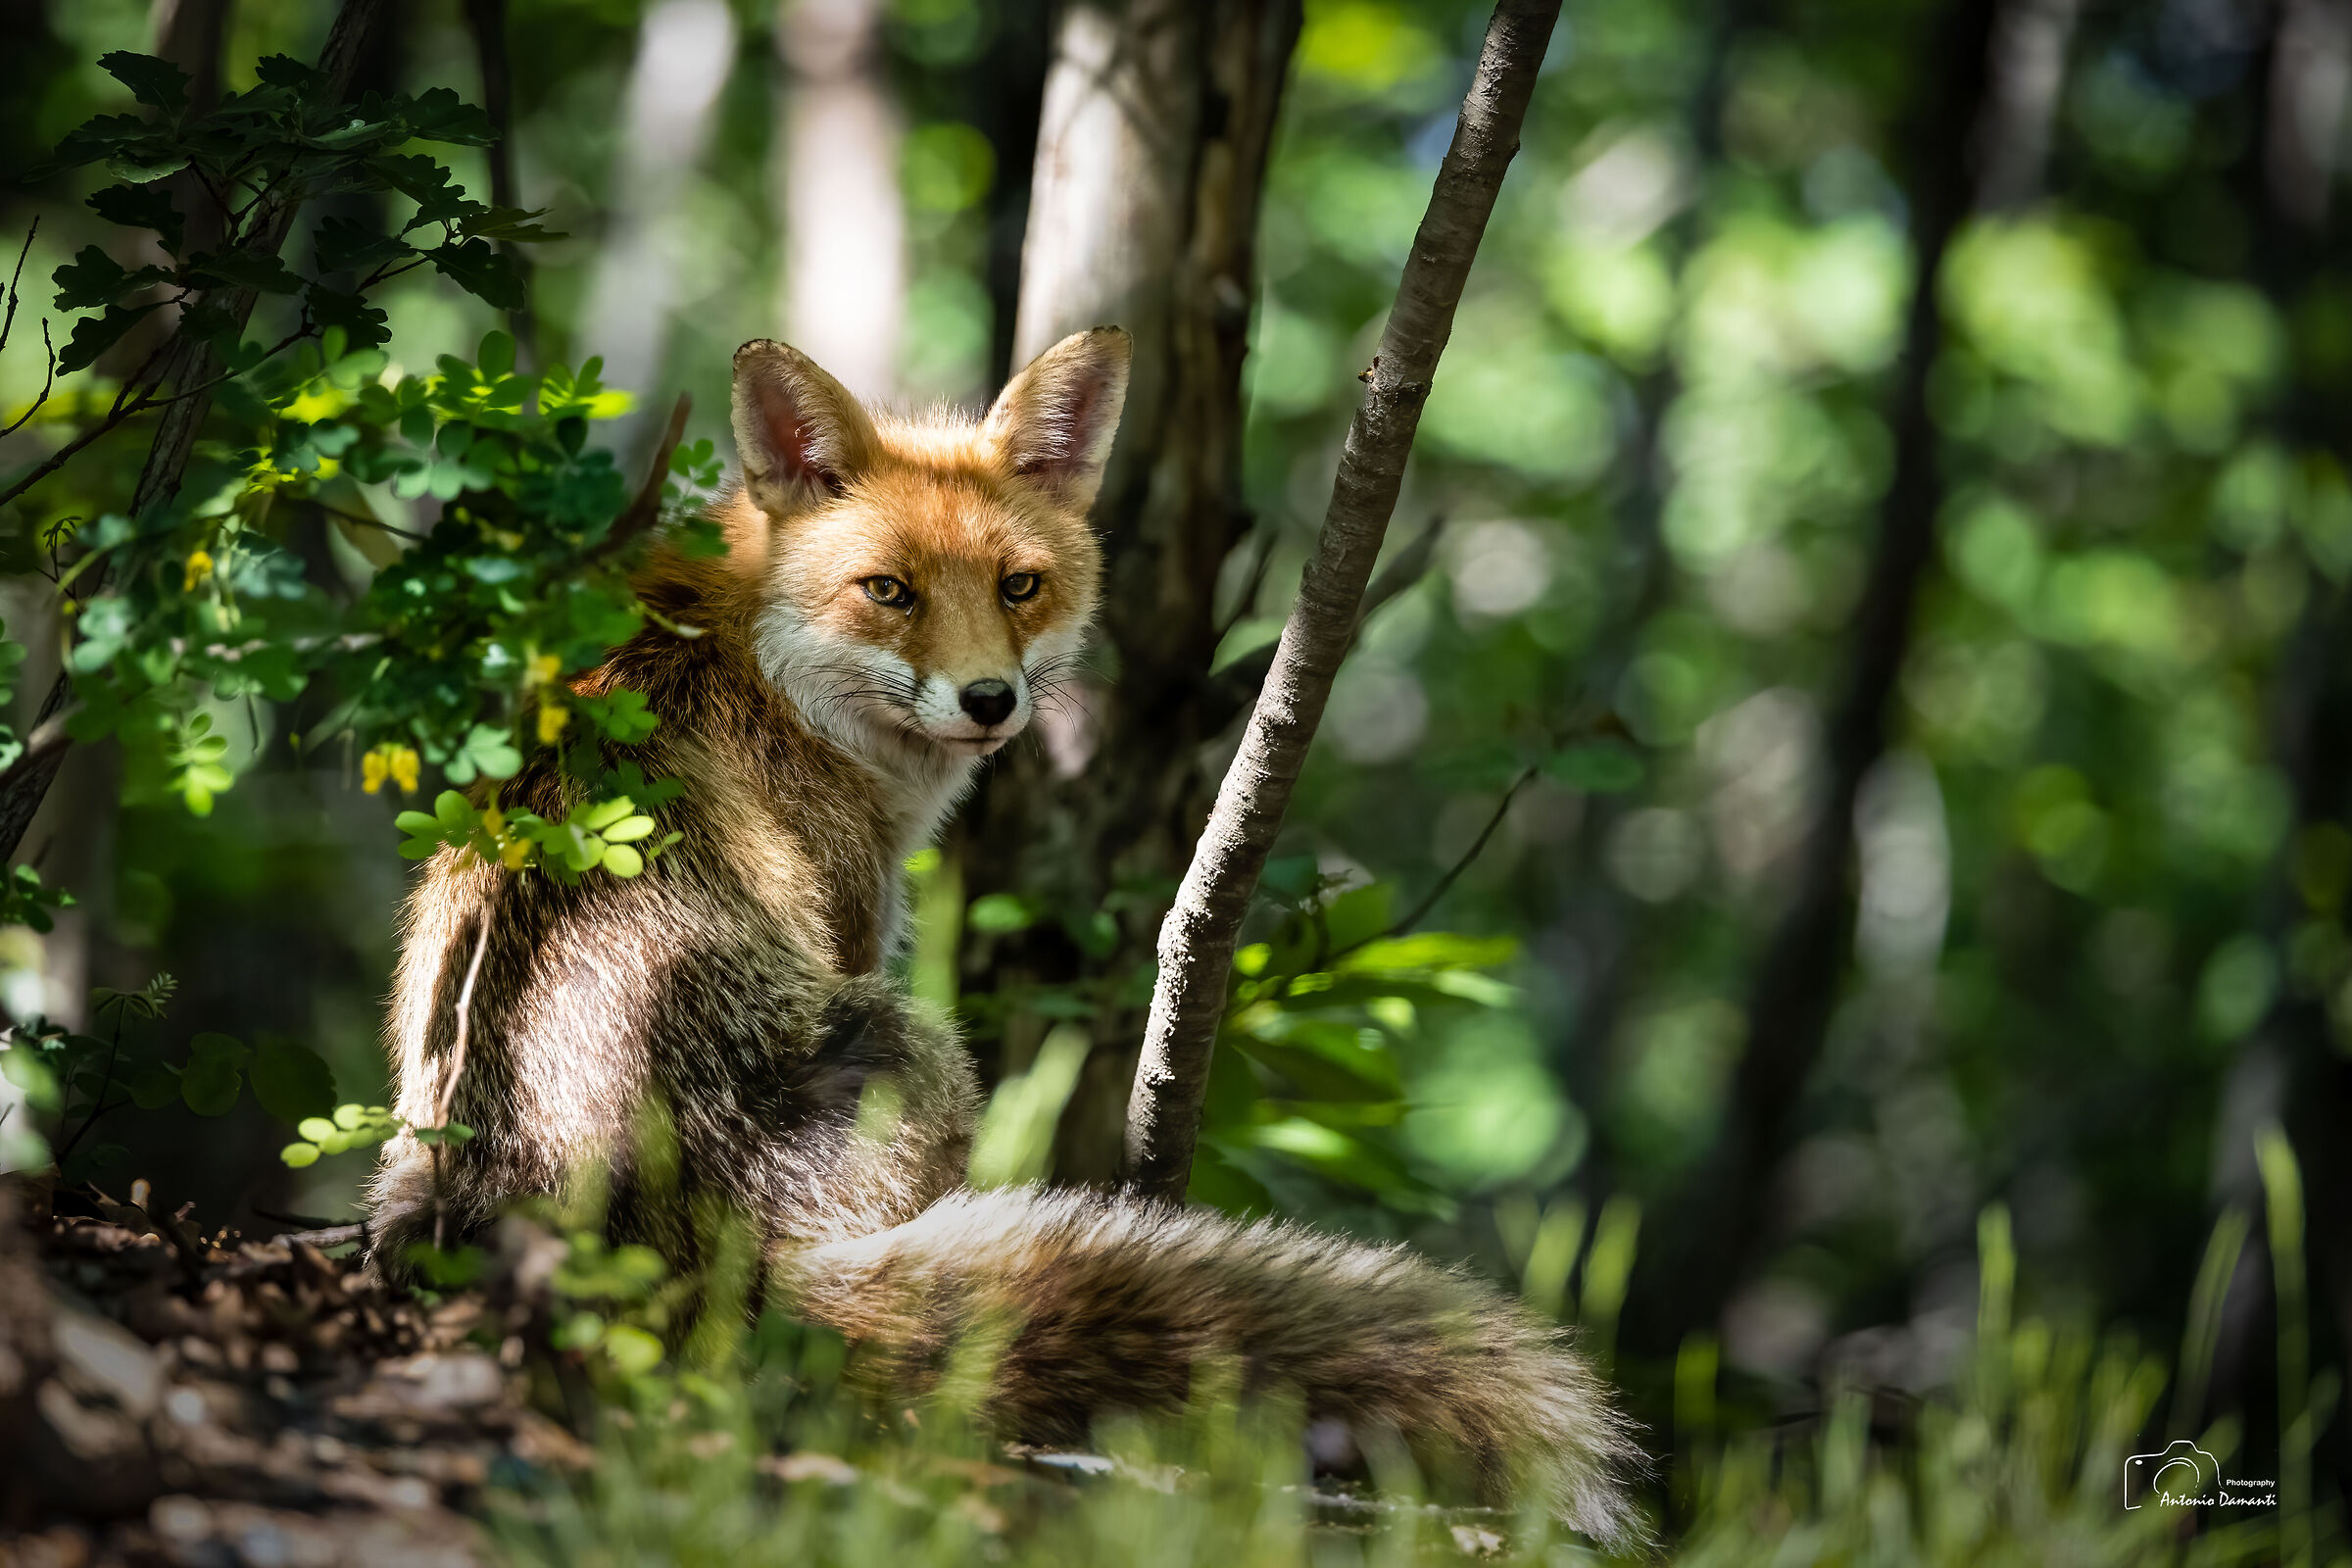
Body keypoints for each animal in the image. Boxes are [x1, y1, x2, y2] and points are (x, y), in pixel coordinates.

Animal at [367, 328, 1639, 1543]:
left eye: (1019, 585)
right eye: (889, 590)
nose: (990, 701)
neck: (758, 669)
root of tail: (623, 1237)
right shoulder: (854, 922)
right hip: (922, 1053)